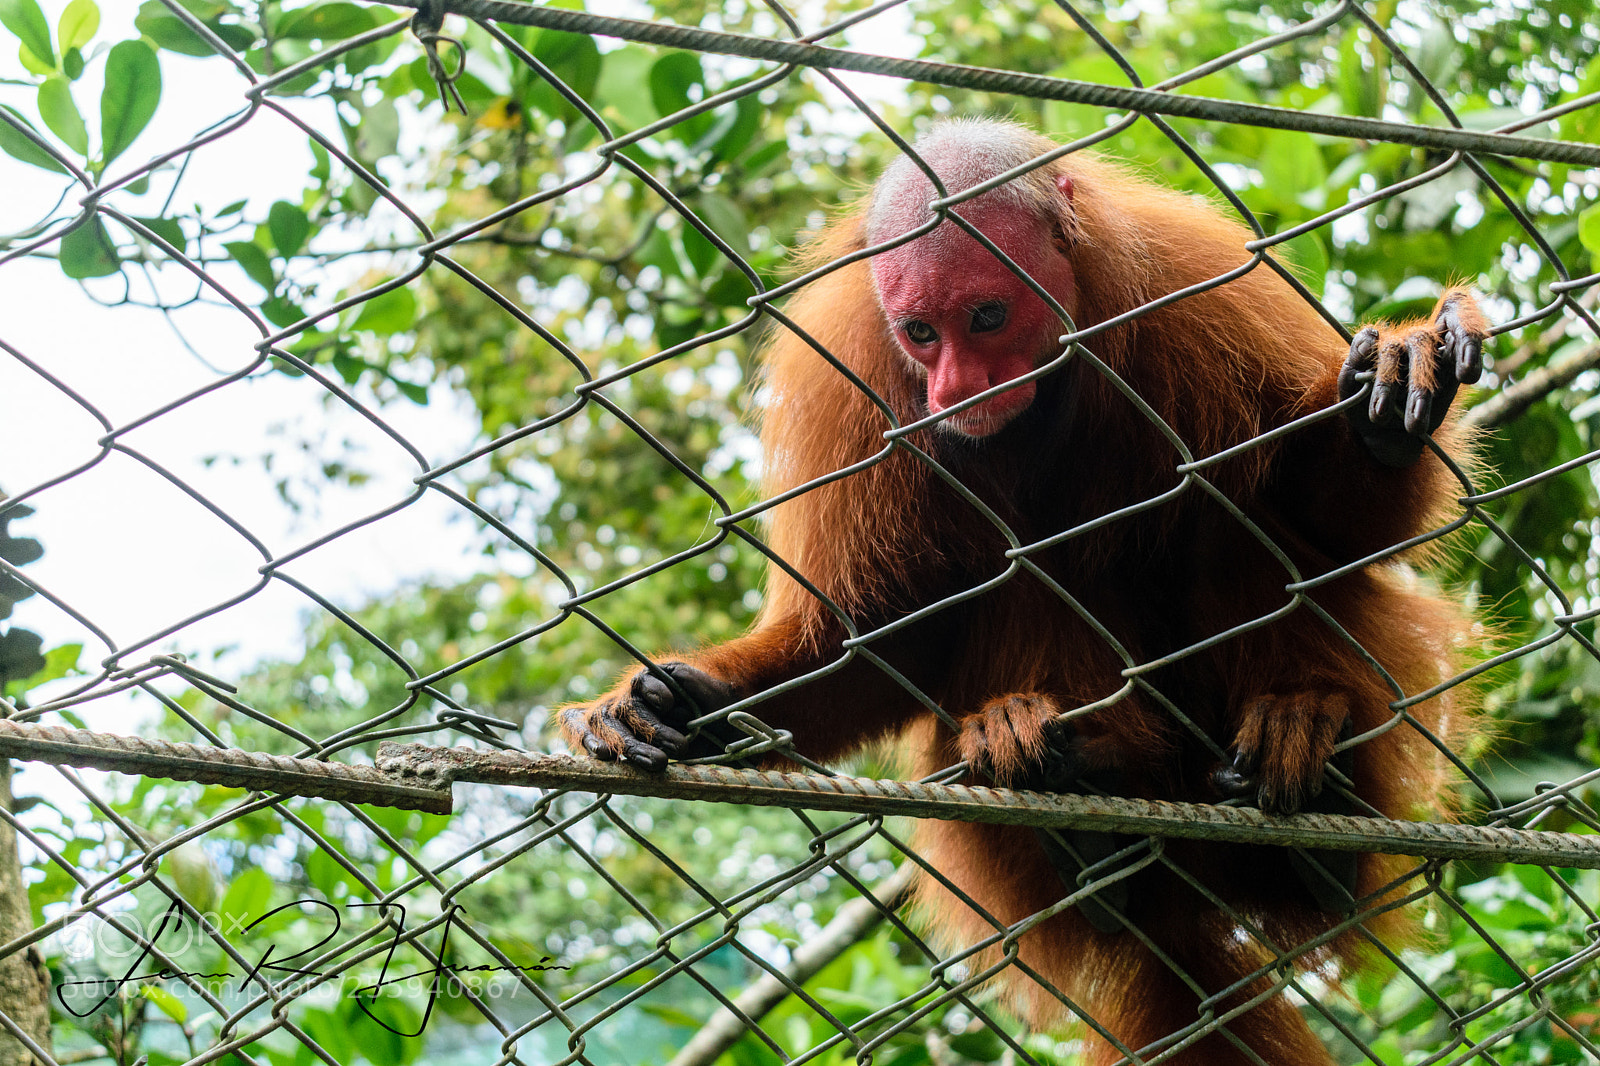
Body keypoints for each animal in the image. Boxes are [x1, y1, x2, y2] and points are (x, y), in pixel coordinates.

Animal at [559, 119, 1488, 1065]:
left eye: (989, 317)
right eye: (921, 333)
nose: (955, 391)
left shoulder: (1200, 288)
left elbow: (1325, 528)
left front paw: (1382, 415)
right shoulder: (855, 371)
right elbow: (884, 632)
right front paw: (687, 703)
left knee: (1225, 523)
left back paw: (1304, 772)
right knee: (1029, 578)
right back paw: (1072, 793)